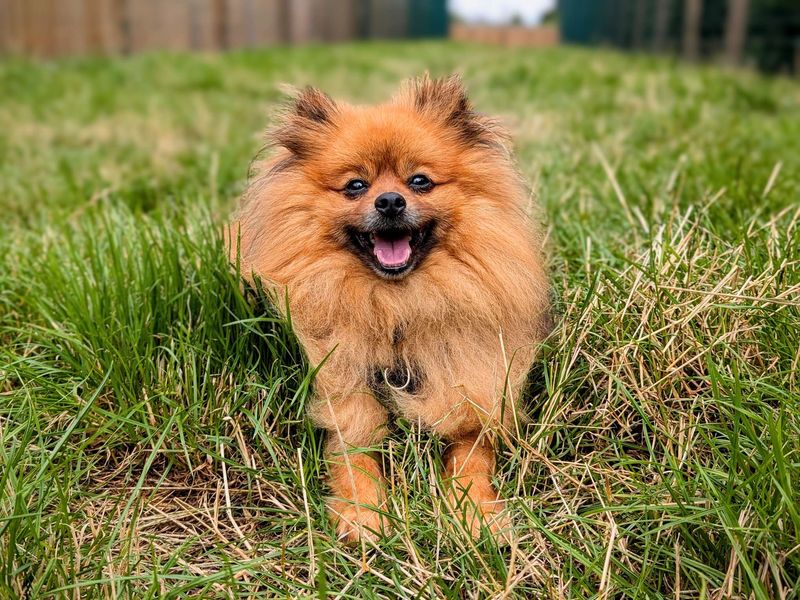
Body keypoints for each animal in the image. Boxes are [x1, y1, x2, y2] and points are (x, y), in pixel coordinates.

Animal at [230, 76, 552, 544]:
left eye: (419, 181)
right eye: (355, 186)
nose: (389, 202)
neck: (397, 305)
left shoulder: (474, 387)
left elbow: (473, 455)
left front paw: (474, 512)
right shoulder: (345, 391)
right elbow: (353, 455)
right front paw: (363, 513)